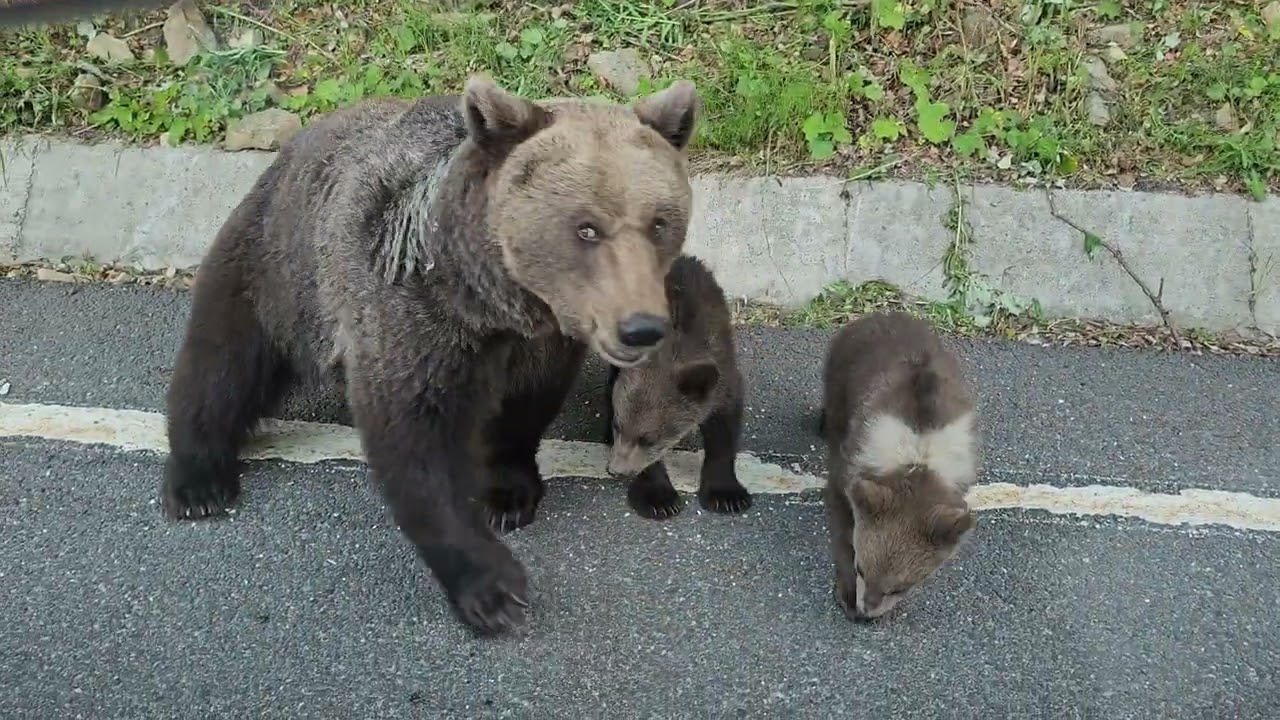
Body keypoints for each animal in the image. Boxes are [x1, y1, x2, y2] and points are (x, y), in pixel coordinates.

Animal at [160, 74, 702, 636]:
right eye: (587, 227)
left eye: (659, 223)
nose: (641, 327)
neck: (490, 302)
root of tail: (296, 143)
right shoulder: (411, 320)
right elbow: (417, 445)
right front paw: (494, 588)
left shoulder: (542, 343)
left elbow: (525, 408)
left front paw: (509, 494)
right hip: (274, 264)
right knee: (223, 362)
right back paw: (199, 481)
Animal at [602, 254, 753, 520]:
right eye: (618, 426)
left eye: (648, 439)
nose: (616, 470)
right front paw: (659, 499)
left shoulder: (722, 374)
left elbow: (723, 433)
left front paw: (727, 496)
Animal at [818, 311, 979, 622]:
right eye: (861, 569)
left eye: (900, 587)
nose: (865, 612)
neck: (919, 454)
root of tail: (884, 313)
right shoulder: (853, 460)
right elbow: (841, 516)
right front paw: (845, 592)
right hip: (838, 372)